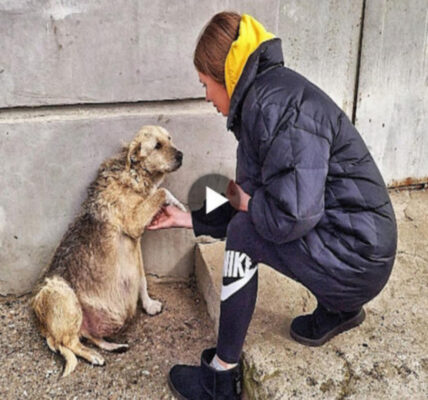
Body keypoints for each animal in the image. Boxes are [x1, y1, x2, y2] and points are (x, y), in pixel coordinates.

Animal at [29, 126, 184, 376]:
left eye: (170, 139)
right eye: (157, 146)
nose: (181, 155)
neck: (134, 174)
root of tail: (44, 328)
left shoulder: (136, 243)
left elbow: (142, 279)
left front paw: (148, 304)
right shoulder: (134, 223)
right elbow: (163, 192)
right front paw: (179, 204)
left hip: (83, 321)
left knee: (87, 337)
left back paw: (113, 346)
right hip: (62, 294)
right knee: (69, 343)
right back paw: (93, 356)